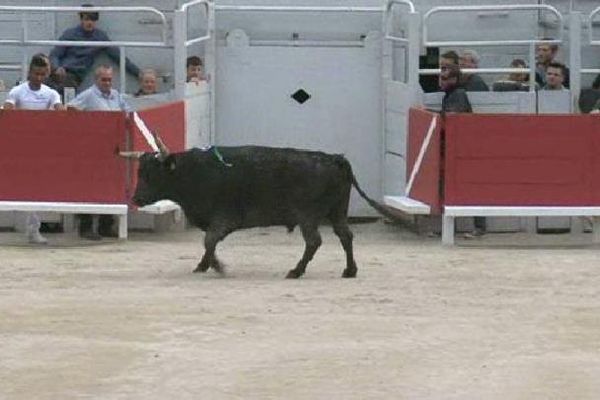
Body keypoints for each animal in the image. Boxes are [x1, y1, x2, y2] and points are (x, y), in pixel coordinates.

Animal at [129, 145, 396, 280]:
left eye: (152, 174)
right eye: (139, 172)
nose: (136, 198)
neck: (193, 172)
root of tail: (334, 159)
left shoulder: (223, 219)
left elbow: (209, 240)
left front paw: (218, 267)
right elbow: (208, 244)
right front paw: (203, 265)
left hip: (307, 216)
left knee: (314, 241)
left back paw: (296, 271)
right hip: (338, 211)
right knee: (345, 236)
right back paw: (350, 271)